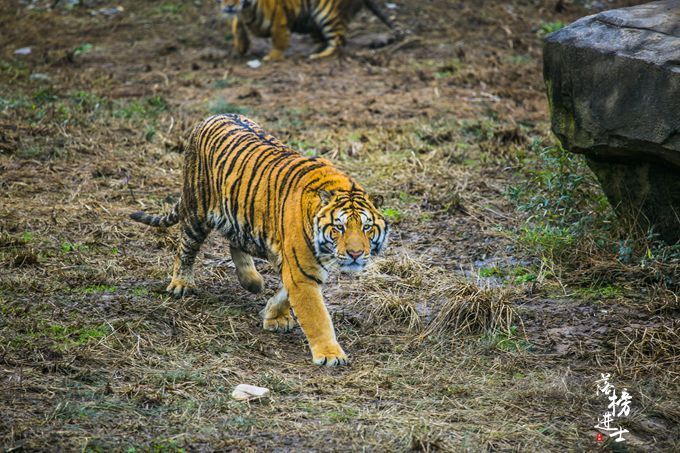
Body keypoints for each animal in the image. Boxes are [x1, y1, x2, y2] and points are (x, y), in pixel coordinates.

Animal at [130, 114, 389, 366]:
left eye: (366, 227)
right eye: (339, 227)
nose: (355, 254)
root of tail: (209, 118)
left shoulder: (298, 266)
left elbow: (285, 292)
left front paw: (273, 315)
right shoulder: (302, 273)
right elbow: (316, 316)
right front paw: (330, 354)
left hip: (242, 216)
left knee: (235, 242)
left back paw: (252, 281)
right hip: (196, 210)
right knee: (185, 247)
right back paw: (181, 284)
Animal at [219, 0, 395, 60]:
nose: (229, 6)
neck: (247, 9)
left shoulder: (279, 18)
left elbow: (278, 39)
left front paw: (273, 56)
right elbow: (236, 24)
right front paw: (241, 47)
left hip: (326, 14)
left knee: (339, 40)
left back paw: (319, 55)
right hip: (313, 23)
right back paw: (314, 50)